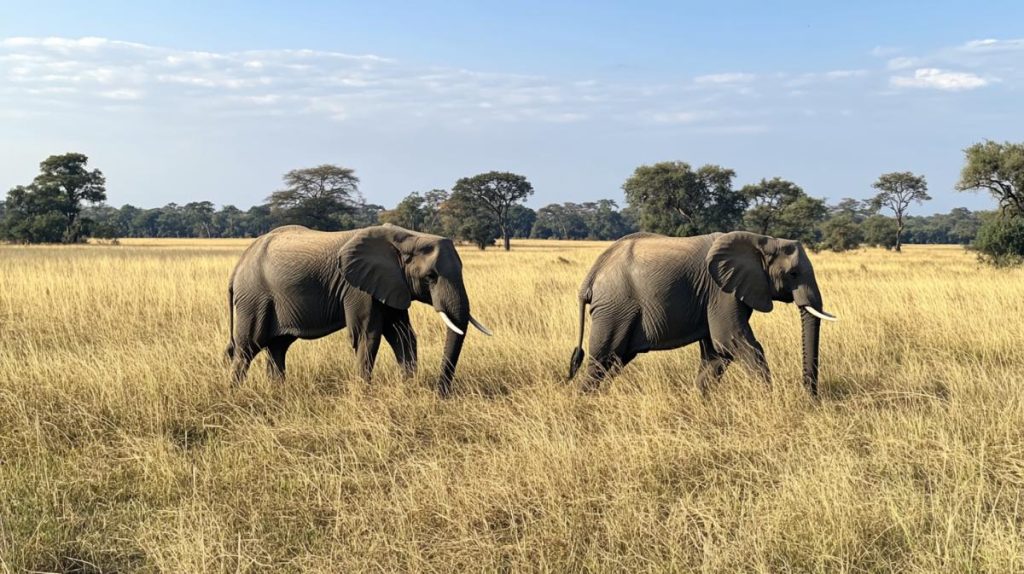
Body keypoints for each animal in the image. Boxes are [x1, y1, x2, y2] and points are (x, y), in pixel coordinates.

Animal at [228, 224, 491, 392]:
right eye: (431, 277)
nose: (440, 393)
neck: (406, 237)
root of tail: (238, 266)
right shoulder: (357, 287)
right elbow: (367, 335)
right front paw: (365, 393)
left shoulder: (392, 283)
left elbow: (403, 335)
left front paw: (408, 388)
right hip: (255, 298)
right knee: (248, 347)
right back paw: (235, 394)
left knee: (277, 347)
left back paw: (278, 393)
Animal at [565, 230, 835, 390]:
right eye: (793, 274)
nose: (810, 397)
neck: (760, 240)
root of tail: (591, 276)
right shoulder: (721, 291)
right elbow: (732, 341)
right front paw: (769, 399)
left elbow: (716, 353)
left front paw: (702, 402)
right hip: (615, 308)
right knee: (602, 360)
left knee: (616, 361)